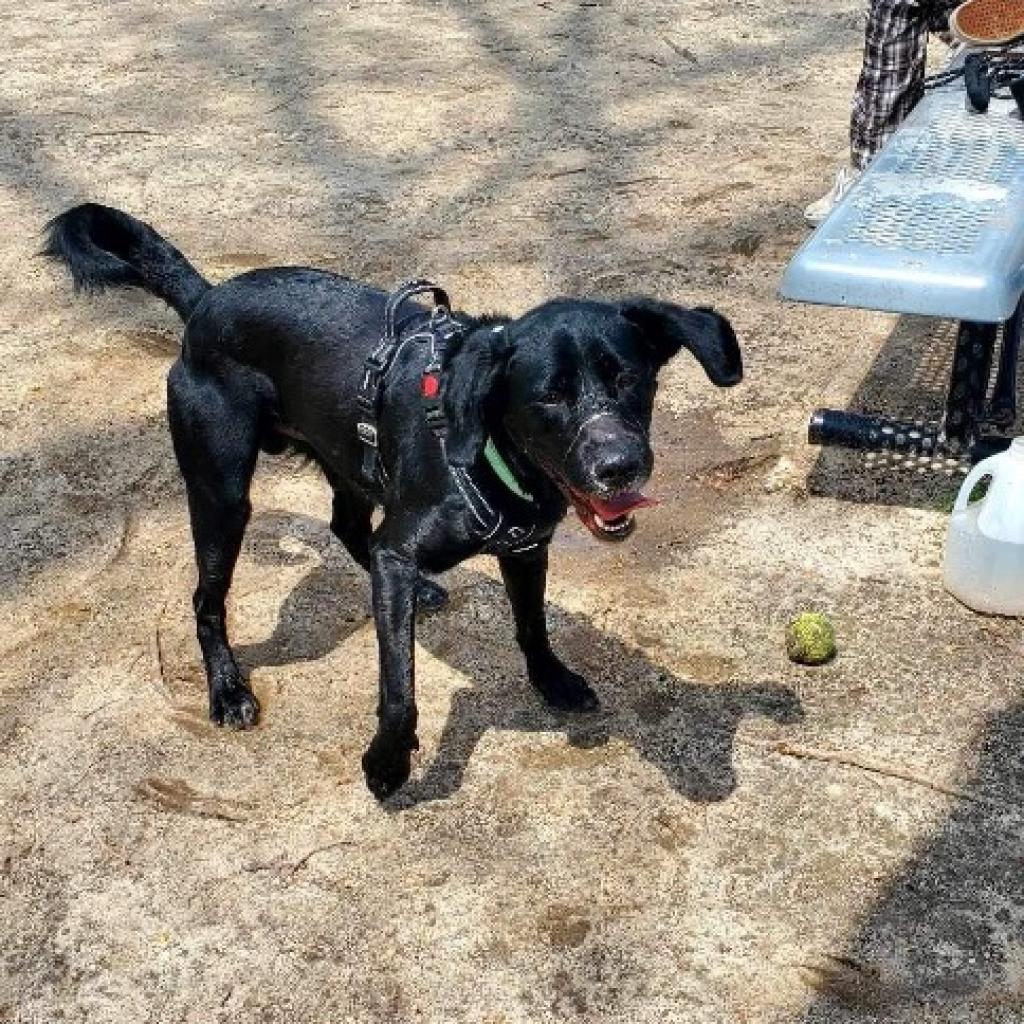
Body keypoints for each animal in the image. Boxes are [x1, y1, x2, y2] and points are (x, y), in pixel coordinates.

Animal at [44, 203, 741, 798]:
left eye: (631, 379)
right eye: (549, 396)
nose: (620, 465)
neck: (490, 450)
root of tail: (206, 300)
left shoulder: (524, 548)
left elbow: (531, 625)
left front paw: (552, 681)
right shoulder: (409, 552)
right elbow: (399, 682)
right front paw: (387, 760)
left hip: (348, 464)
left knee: (349, 528)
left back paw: (421, 591)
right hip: (222, 495)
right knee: (208, 599)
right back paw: (228, 691)